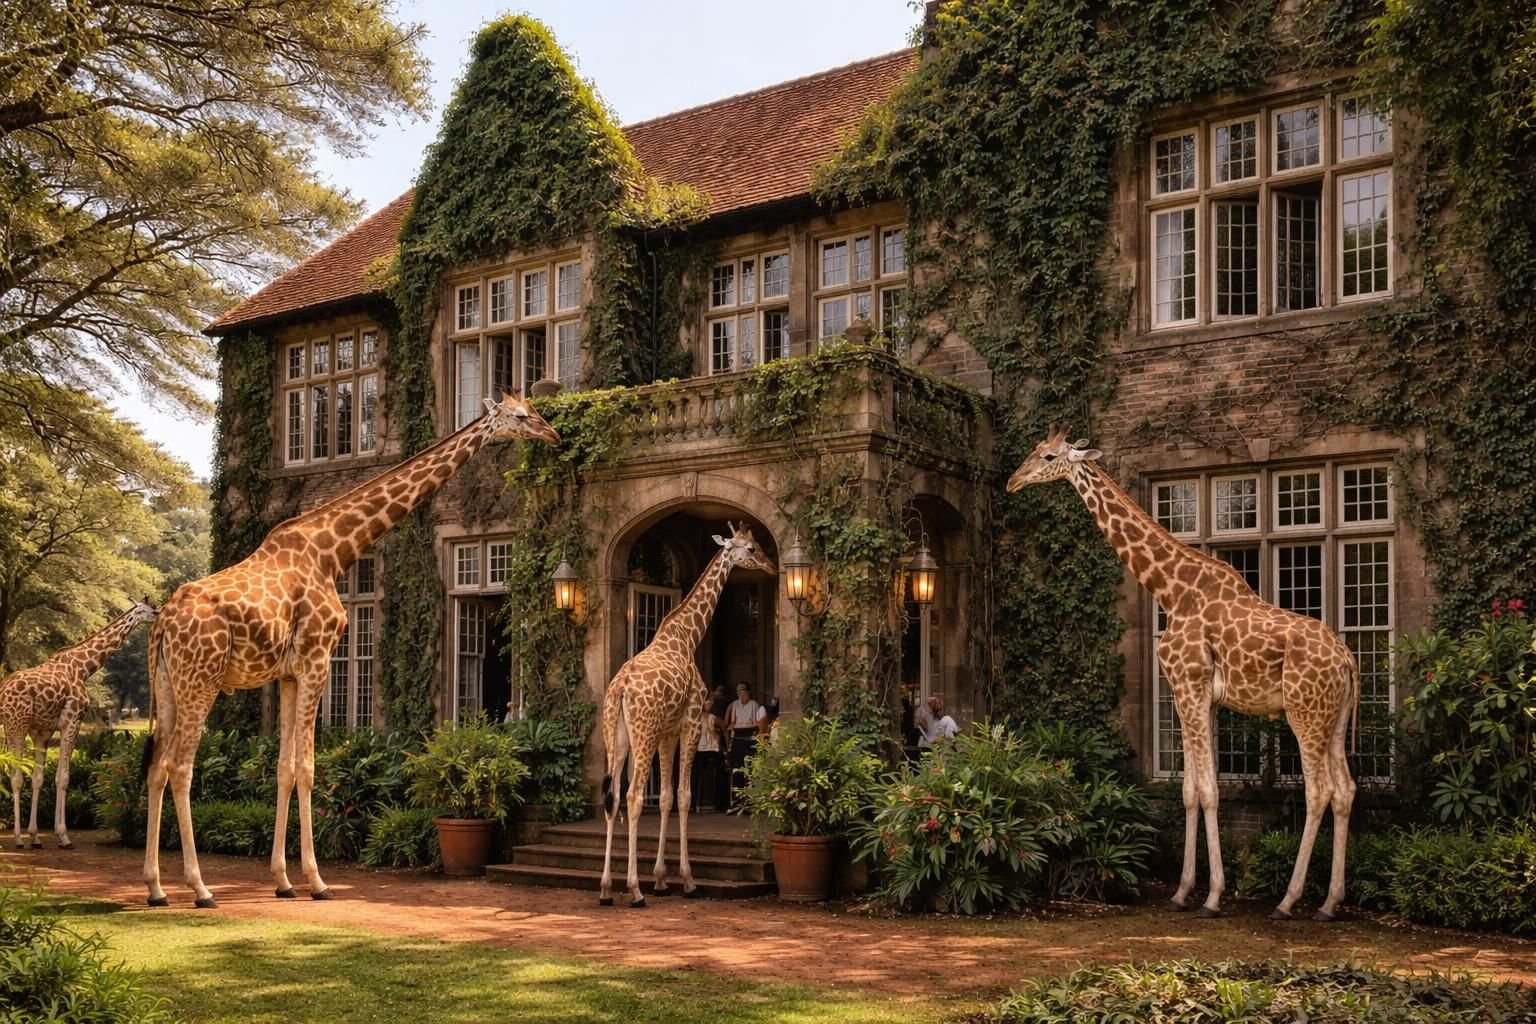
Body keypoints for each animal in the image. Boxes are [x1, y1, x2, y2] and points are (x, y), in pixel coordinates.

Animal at [2, 598, 158, 849]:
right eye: (147, 609)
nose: (159, 612)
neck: (83, 667)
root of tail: (3, 692)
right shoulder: (71, 721)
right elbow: (63, 778)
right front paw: (63, 836)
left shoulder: (42, 732)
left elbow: (39, 779)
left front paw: (35, 836)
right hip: (17, 725)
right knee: (16, 778)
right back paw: (16, 838)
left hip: (9, 727)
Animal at [143, 393, 558, 909]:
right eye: (520, 416)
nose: (552, 433)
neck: (331, 552)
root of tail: (162, 623)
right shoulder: (317, 660)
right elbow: (307, 767)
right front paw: (317, 882)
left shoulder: (288, 674)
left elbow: (283, 768)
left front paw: (283, 881)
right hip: (201, 681)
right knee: (180, 767)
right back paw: (200, 889)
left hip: (168, 685)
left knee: (156, 768)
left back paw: (156, 888)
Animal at [598, 522, 777, 907]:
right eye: (751, 549)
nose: (772, 567)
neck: (687, 637)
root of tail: (620, 690)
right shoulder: (692, 722)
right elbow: (683, 796)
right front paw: (687, 879)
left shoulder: (669, 731)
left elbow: (665, 797)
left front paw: (661, 879)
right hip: (643, 733)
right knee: (633, 797)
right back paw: (634, 891)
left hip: (616, 736)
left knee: (613, 797)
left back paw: (605, 889)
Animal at [1007, 429, 1358, 922]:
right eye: (1035, 451)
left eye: (1049, 456)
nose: (1012, 481)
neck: (1171, 590)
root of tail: (1347, 658)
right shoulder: (1192, 695)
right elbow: (1190, 790)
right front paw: (1182, 890)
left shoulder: (1189, 687)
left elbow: (1209, 790)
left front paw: (1212, 898)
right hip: (1334, 717)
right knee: (1345, 790)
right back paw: (1329, 902)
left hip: (1304, 713)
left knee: (1319, 791)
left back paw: (1288, 902)